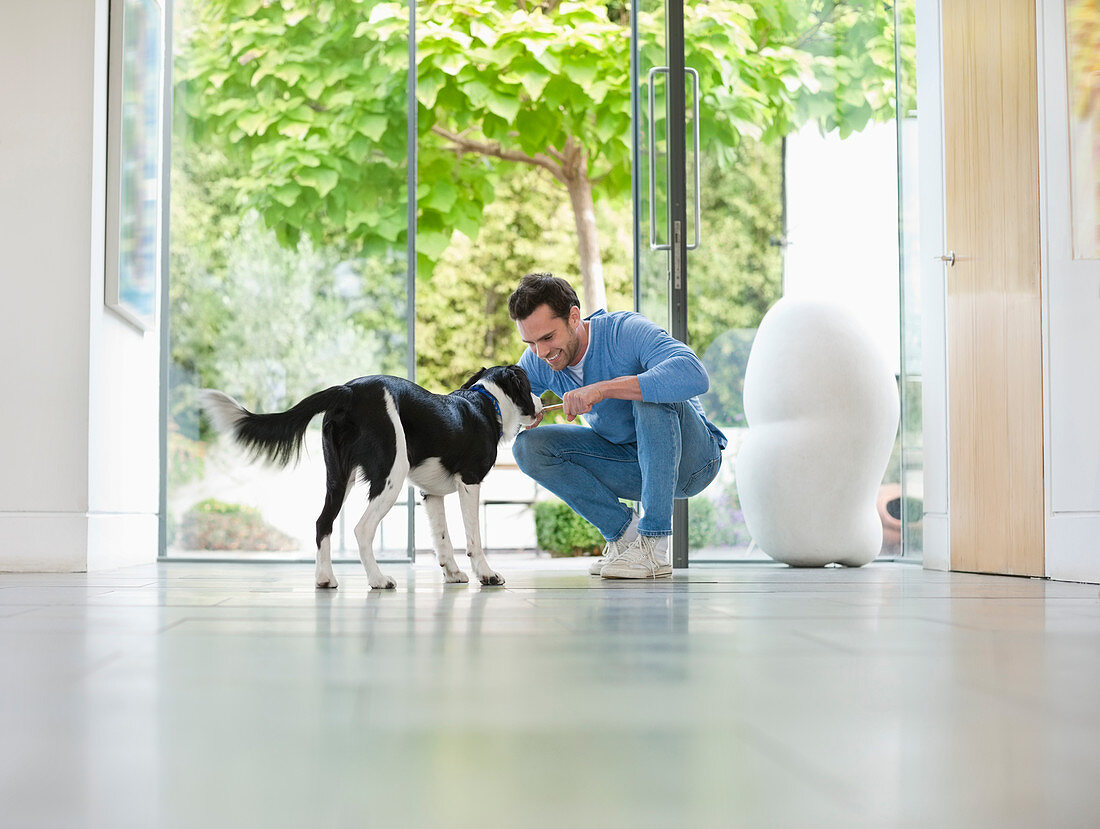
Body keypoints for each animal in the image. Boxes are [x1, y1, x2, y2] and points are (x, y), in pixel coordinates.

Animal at [201, 362, 541, 589]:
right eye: (528, 385)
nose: (541, 402)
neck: (486, 402)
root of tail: (349, 391)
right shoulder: (470, 481)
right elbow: (473, 538)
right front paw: (486, 574)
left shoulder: (431, 494)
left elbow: (442, 539)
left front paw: (453, 574)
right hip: (391, 475)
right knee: (362, 528)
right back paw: (378, 579)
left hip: (339, 478)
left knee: (323, 523)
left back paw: (325, 578)